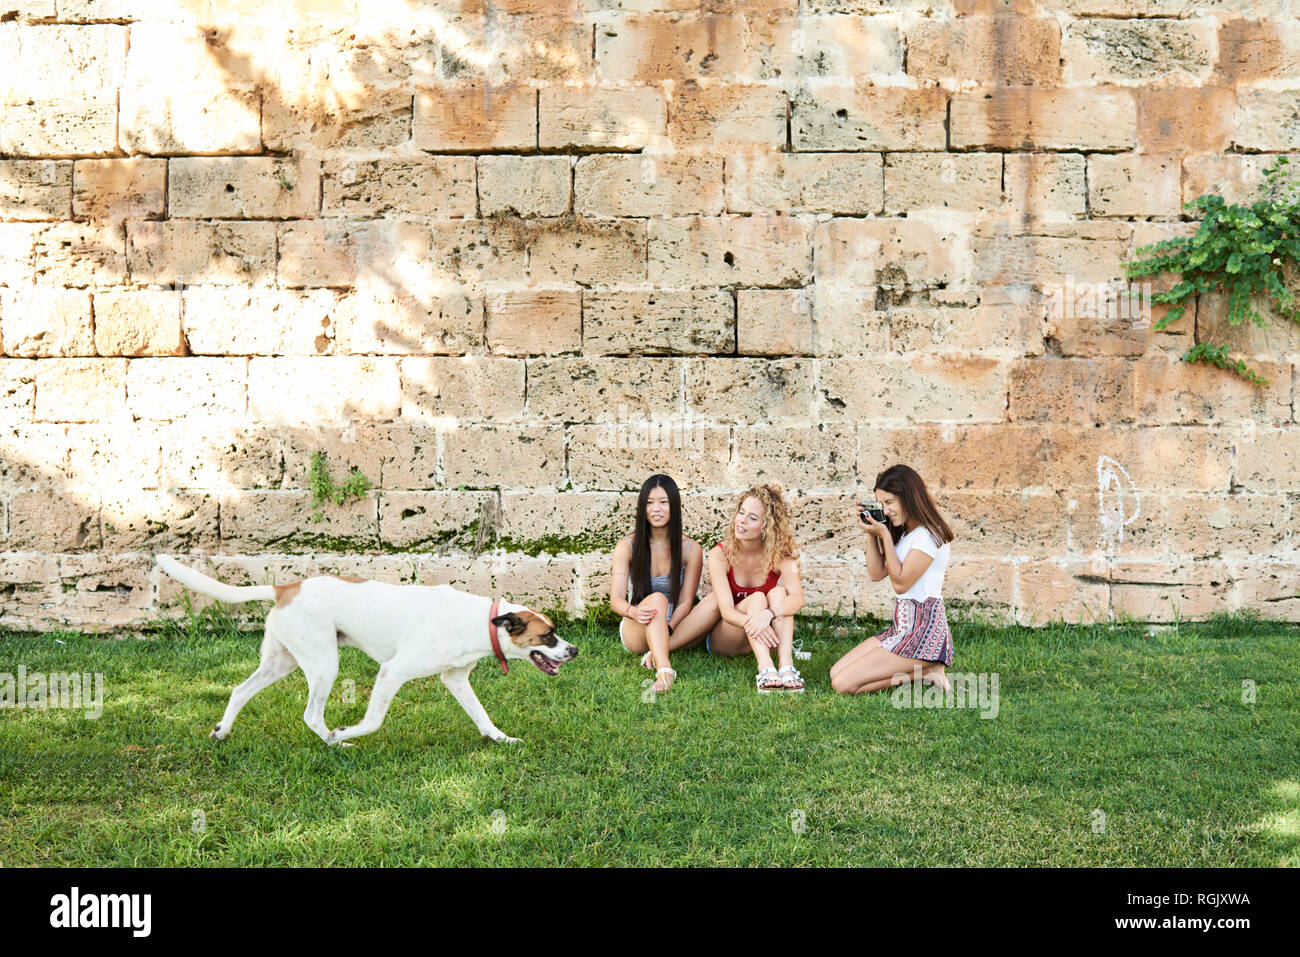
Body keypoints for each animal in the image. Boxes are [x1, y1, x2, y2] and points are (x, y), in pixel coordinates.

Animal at [154, 553, 577, 748]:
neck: (481, 620)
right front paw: (347, 730)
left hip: (281, 662)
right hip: (324, 664)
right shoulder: (392, 672)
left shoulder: (455, 679)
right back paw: (336, 742)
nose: (573, 651)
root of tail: (285, 587)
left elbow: (482, 716)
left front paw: (502, 740)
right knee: (311, 715)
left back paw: (223, 732)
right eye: (548, 635)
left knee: (240, 691)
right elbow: (373, 720)